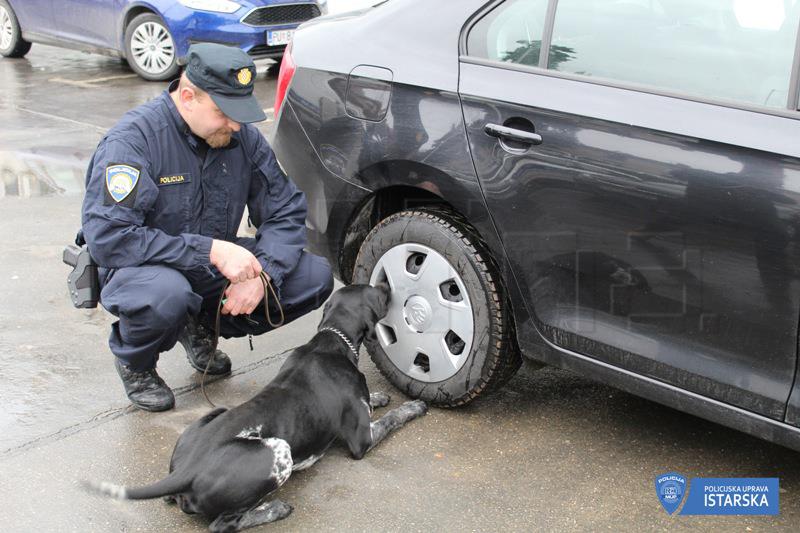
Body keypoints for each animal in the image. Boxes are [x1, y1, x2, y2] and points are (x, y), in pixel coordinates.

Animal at [87, 282, 428, 528]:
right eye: (377, 293)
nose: (387, 286)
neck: (331, 341)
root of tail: (186, 470)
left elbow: (374, 403)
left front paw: (378, 397)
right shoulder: (361, 441)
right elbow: (394, 418)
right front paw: (413, 407)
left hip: (217, 413)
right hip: (278, 452)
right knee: (224, 524)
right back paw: (274, 509)